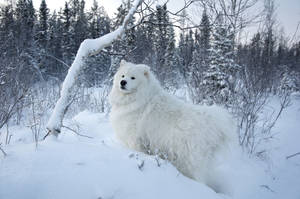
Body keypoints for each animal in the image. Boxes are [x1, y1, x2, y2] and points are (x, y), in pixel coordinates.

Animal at [109, 60, 238, 194]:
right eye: (123, 76)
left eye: (133, 77)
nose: (123, 82)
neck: (138, 99)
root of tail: (213, 121)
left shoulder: (134, 139)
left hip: (189, 160)